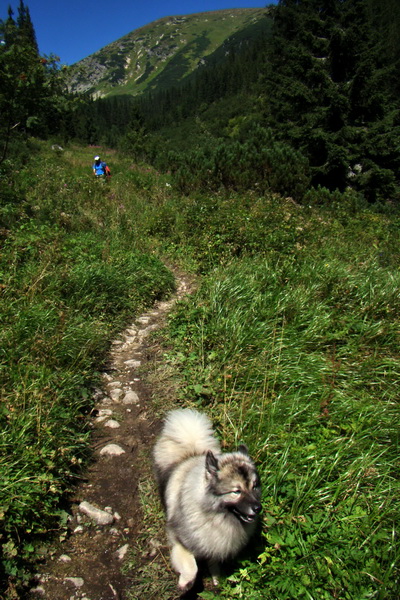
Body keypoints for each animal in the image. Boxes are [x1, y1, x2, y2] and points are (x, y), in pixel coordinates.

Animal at [152, 408, 260, 592]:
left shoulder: (214, 543)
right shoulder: (179, 539)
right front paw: (186, 581)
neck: (214, 515)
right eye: (236, 491)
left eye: (254, 487)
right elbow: (192, 566)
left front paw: (216, 575)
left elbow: (214, 560)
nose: (257, 508)